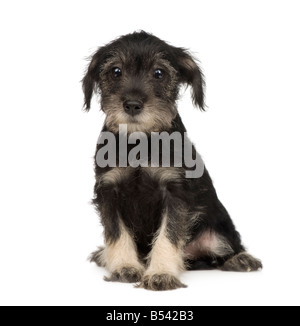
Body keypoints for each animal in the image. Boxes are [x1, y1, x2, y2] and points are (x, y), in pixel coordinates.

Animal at [82, 30, 262, 290]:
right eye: (116, 71)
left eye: (159, 73)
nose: (133, 105)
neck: (140, 142)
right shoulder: (109, 191)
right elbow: (116, 233)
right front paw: (125, 267)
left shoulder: (175, 193)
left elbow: (169, 234)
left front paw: (161, 273)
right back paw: (103, 255)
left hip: (216, 232)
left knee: (228, 246)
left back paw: (241, 259)